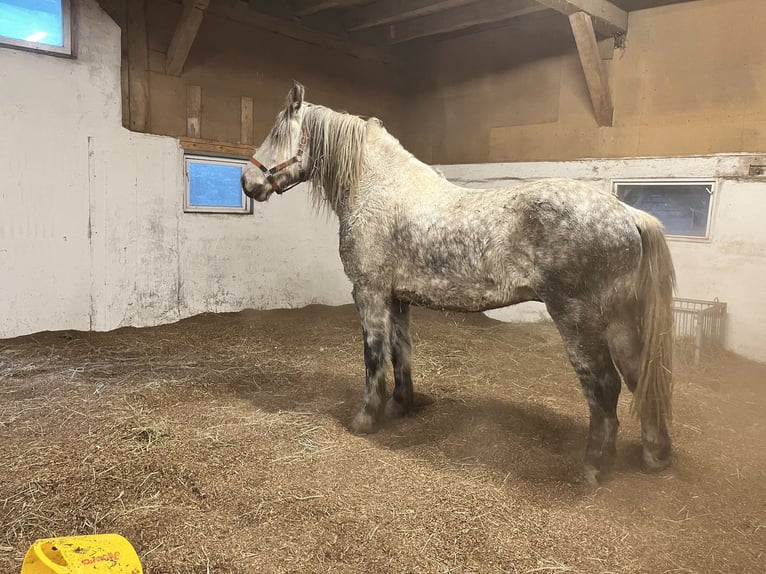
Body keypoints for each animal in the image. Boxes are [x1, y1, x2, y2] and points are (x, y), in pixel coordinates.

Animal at [242, 82, 680, 486]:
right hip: (620, 319)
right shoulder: (398, 299)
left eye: (277, 133)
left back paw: (594, 467)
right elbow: (402, 353)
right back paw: (655, 455)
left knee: (604, 386)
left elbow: (374, 357)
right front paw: (400, 406)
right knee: (638, 374)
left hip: (578, 319)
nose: (247, 181)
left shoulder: (369, 293)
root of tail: (630, 215)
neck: (380, 190)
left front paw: (366, 418)